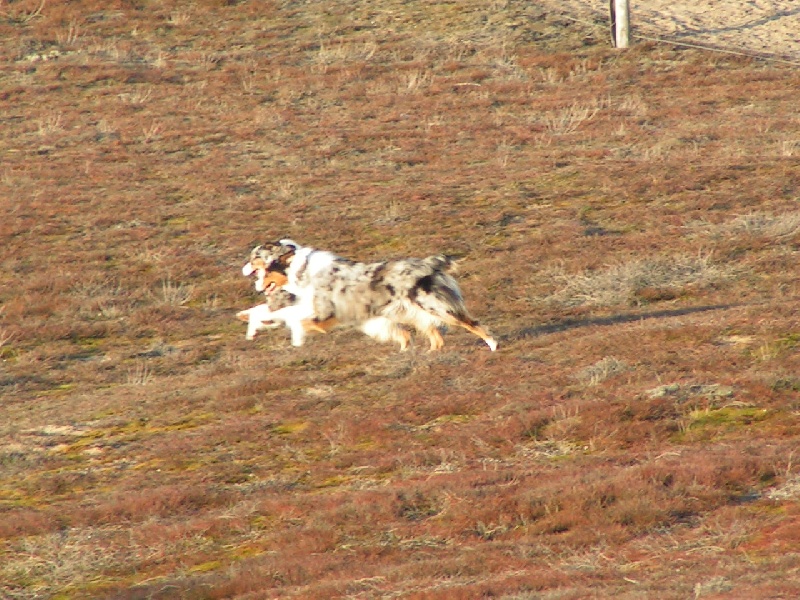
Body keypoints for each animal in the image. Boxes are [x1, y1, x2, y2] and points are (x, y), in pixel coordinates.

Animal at [241, 239, 496, 352]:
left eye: (255, 258)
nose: (243, 269)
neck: (300, 269)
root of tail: (429, 263)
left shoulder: (324, 312)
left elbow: (296, 320)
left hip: (435, 306)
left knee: (472, 323)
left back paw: (493, 346)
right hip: (414, 312)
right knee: (436, 337)